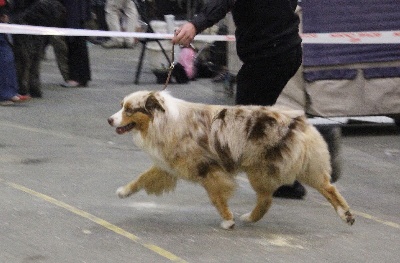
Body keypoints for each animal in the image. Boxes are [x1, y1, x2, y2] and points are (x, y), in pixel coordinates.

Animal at [108, 91, 354, 231]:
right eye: (121, 105)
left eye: (129, 109)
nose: (110, 120)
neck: (163, 119)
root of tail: (298, 120)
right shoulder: (169, 165)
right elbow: (142, 177)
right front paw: (123, 192)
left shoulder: (206, 167)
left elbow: (216, 196)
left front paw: (228, 220)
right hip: (304, 166)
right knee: (327, 186)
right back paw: (347, 215)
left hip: (261, 170)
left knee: (267, 199)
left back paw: (248, 218)